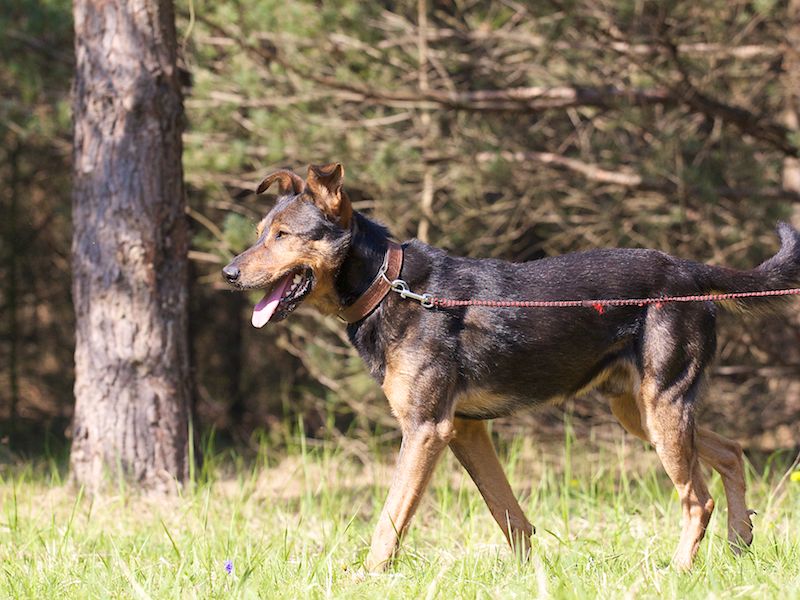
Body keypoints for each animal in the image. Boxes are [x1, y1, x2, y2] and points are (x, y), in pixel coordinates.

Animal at [223, 162, 800, 571]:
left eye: (283, 236)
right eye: (259, 231)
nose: (228, 274)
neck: (389, 285)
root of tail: (689, 271)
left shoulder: (426, 429)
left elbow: (390, 518)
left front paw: (367, 576)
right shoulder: (465, 431)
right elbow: (509, 515)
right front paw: (527, 576)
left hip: (663, 406)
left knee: (696, 499)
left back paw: (678, 570)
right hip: (639, 411)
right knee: (731, 451)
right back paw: (740, 544)